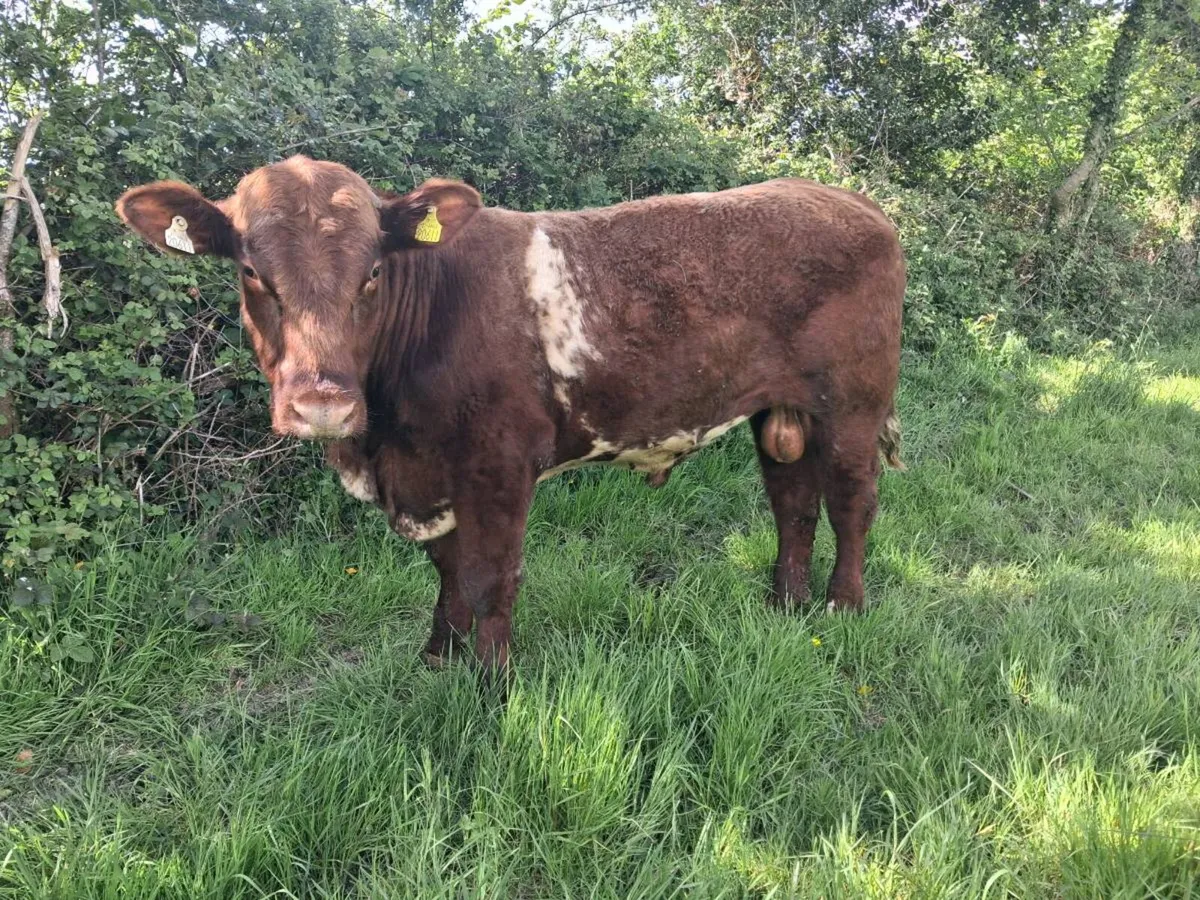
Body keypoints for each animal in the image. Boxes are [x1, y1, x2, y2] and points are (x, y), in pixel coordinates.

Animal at [115, 156, 905, 675]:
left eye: (373, 271)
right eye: (252, 271)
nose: (322, 403)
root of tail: (850, 201)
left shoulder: (497, 463)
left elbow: (489, 575)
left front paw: (491, 686)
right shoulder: (428, 474)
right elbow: (446, 570)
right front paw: (438, 659)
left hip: (854, 403)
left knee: (852, 502)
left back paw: (843, 607)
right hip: (781, 410)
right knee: (792, 503)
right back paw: (785, 606)